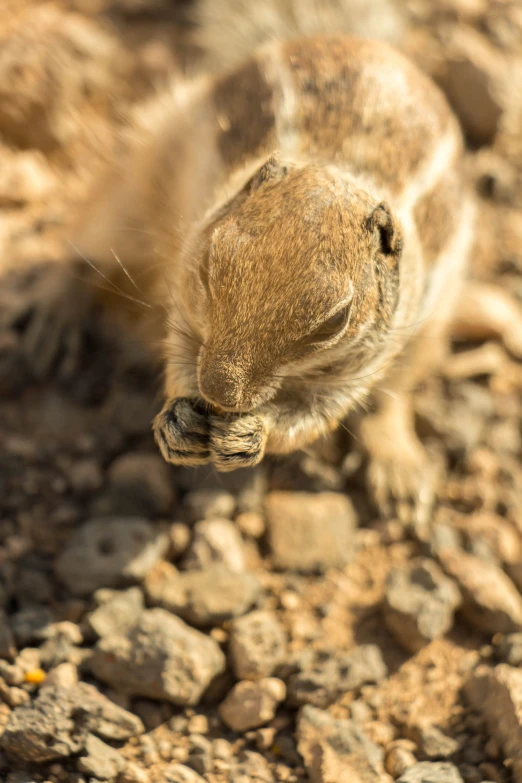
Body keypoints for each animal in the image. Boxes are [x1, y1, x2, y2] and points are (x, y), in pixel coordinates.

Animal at [24, 35, 512, 520]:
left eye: (335, 322)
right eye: (209, 267)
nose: (219, 392)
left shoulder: (364, 361)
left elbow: (317, 415)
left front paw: (251, 435)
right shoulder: (184, 290)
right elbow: (178, 353)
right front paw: (176, 422)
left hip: (431, 324)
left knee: (393, 396)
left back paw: (399, 469)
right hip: (144, 169)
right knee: (88, 240)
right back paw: (50, 318)